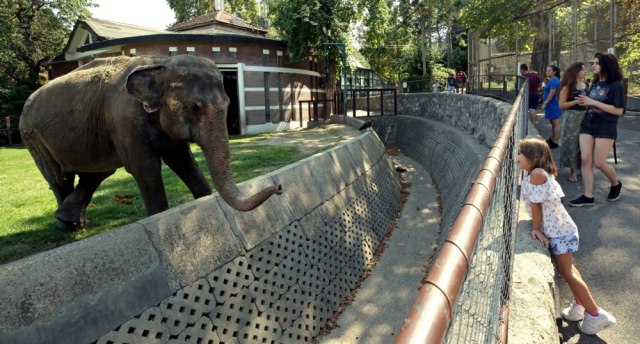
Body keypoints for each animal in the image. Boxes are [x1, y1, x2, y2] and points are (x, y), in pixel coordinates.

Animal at [20, 55, 282, 230]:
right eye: (194, 107)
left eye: (228, 104)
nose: (279, 188)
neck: (160, 64)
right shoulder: (125, 121)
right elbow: (146, 168)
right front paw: (159, 217)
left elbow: (184, 162)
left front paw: (203, 198)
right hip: (33, 137)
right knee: (60, 178)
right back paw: (67, 225)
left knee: (96, 173)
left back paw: (72, 220)